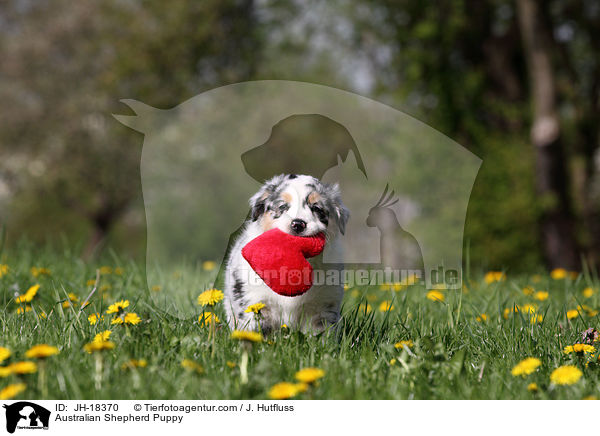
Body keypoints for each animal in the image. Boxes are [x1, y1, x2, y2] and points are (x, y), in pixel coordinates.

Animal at [224, 174, 346, 334]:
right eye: (282, 206)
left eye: (316, 208)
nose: (298, 224)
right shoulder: (255, 301)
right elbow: (256, 331)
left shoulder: (324, 304)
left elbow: (320, 335)